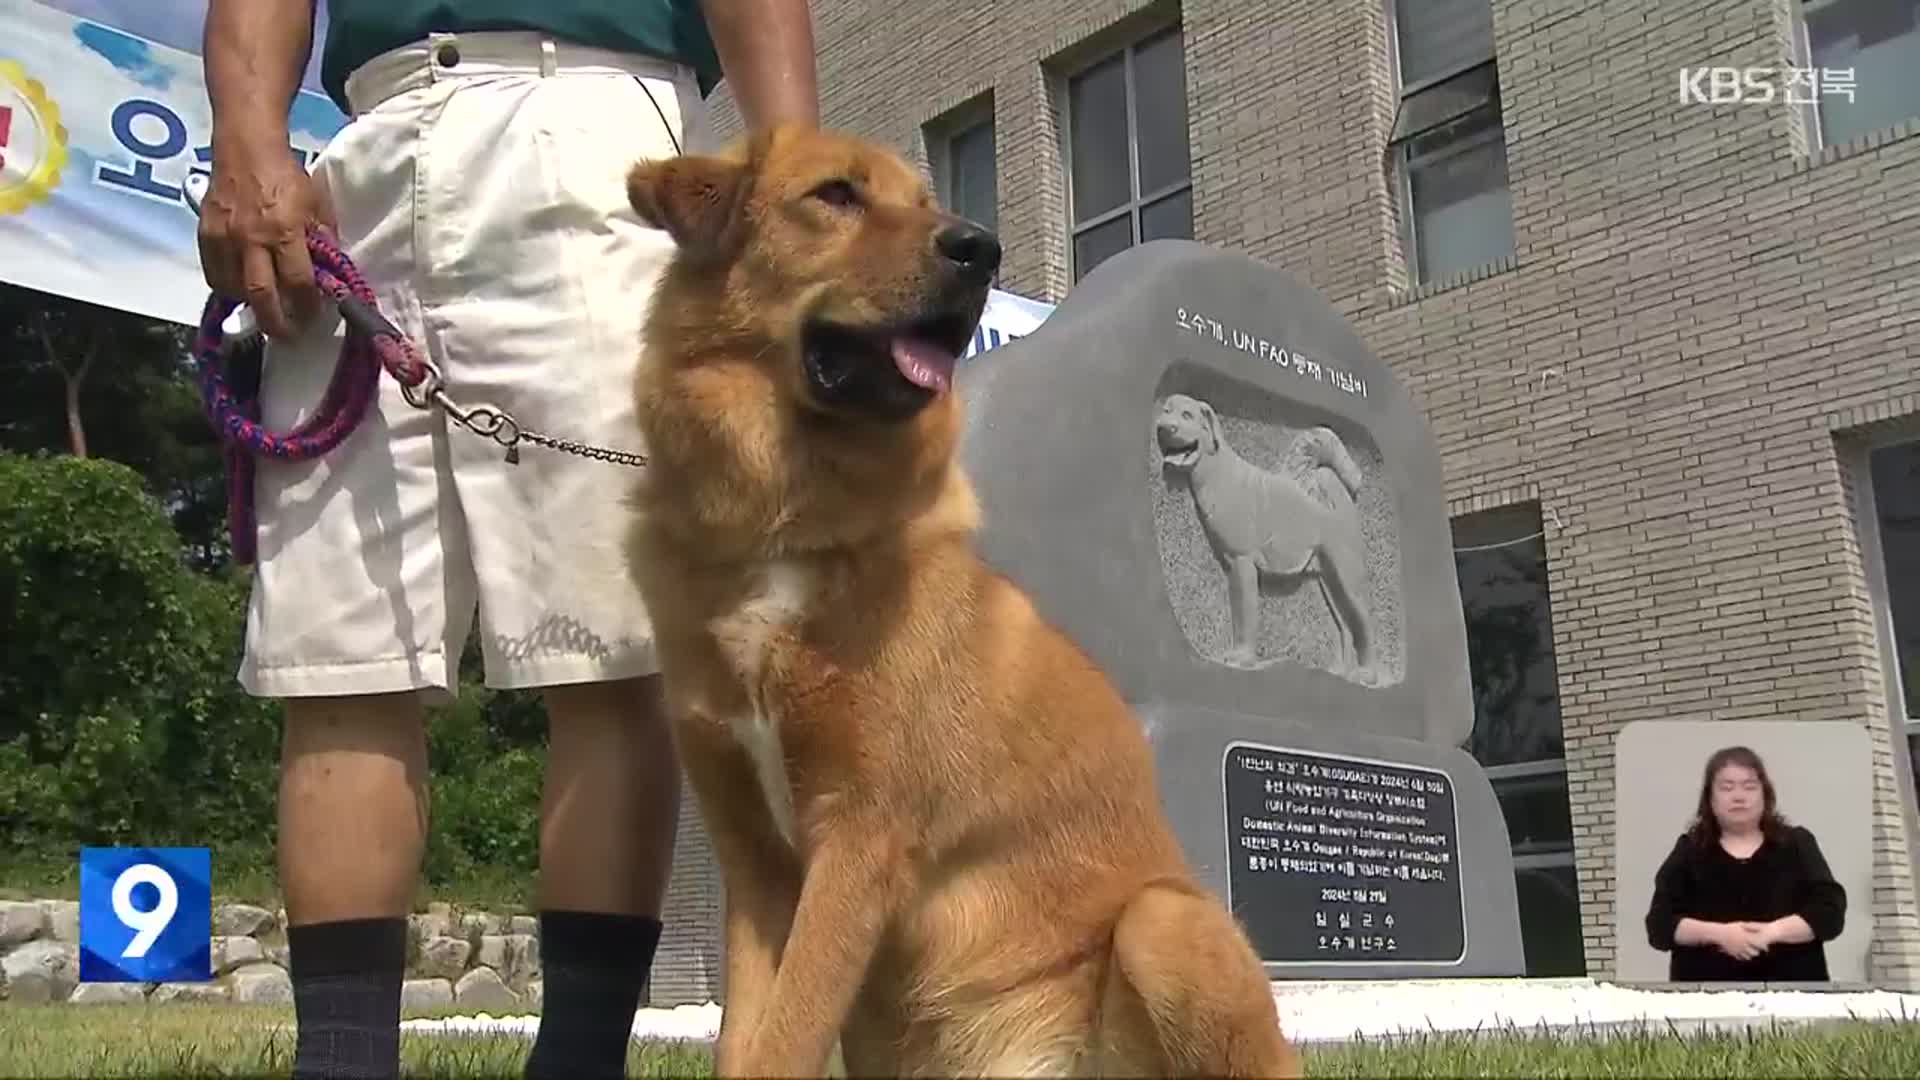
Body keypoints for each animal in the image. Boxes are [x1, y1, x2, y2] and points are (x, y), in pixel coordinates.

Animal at [622, 122, 1297, 1068]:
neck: (786, 525)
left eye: (925, 200)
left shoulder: (859, 841)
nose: (981, 248)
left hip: (1166, 924)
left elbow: (787, 1040)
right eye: (836, 195)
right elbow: (749, 1043)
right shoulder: (755, 863)